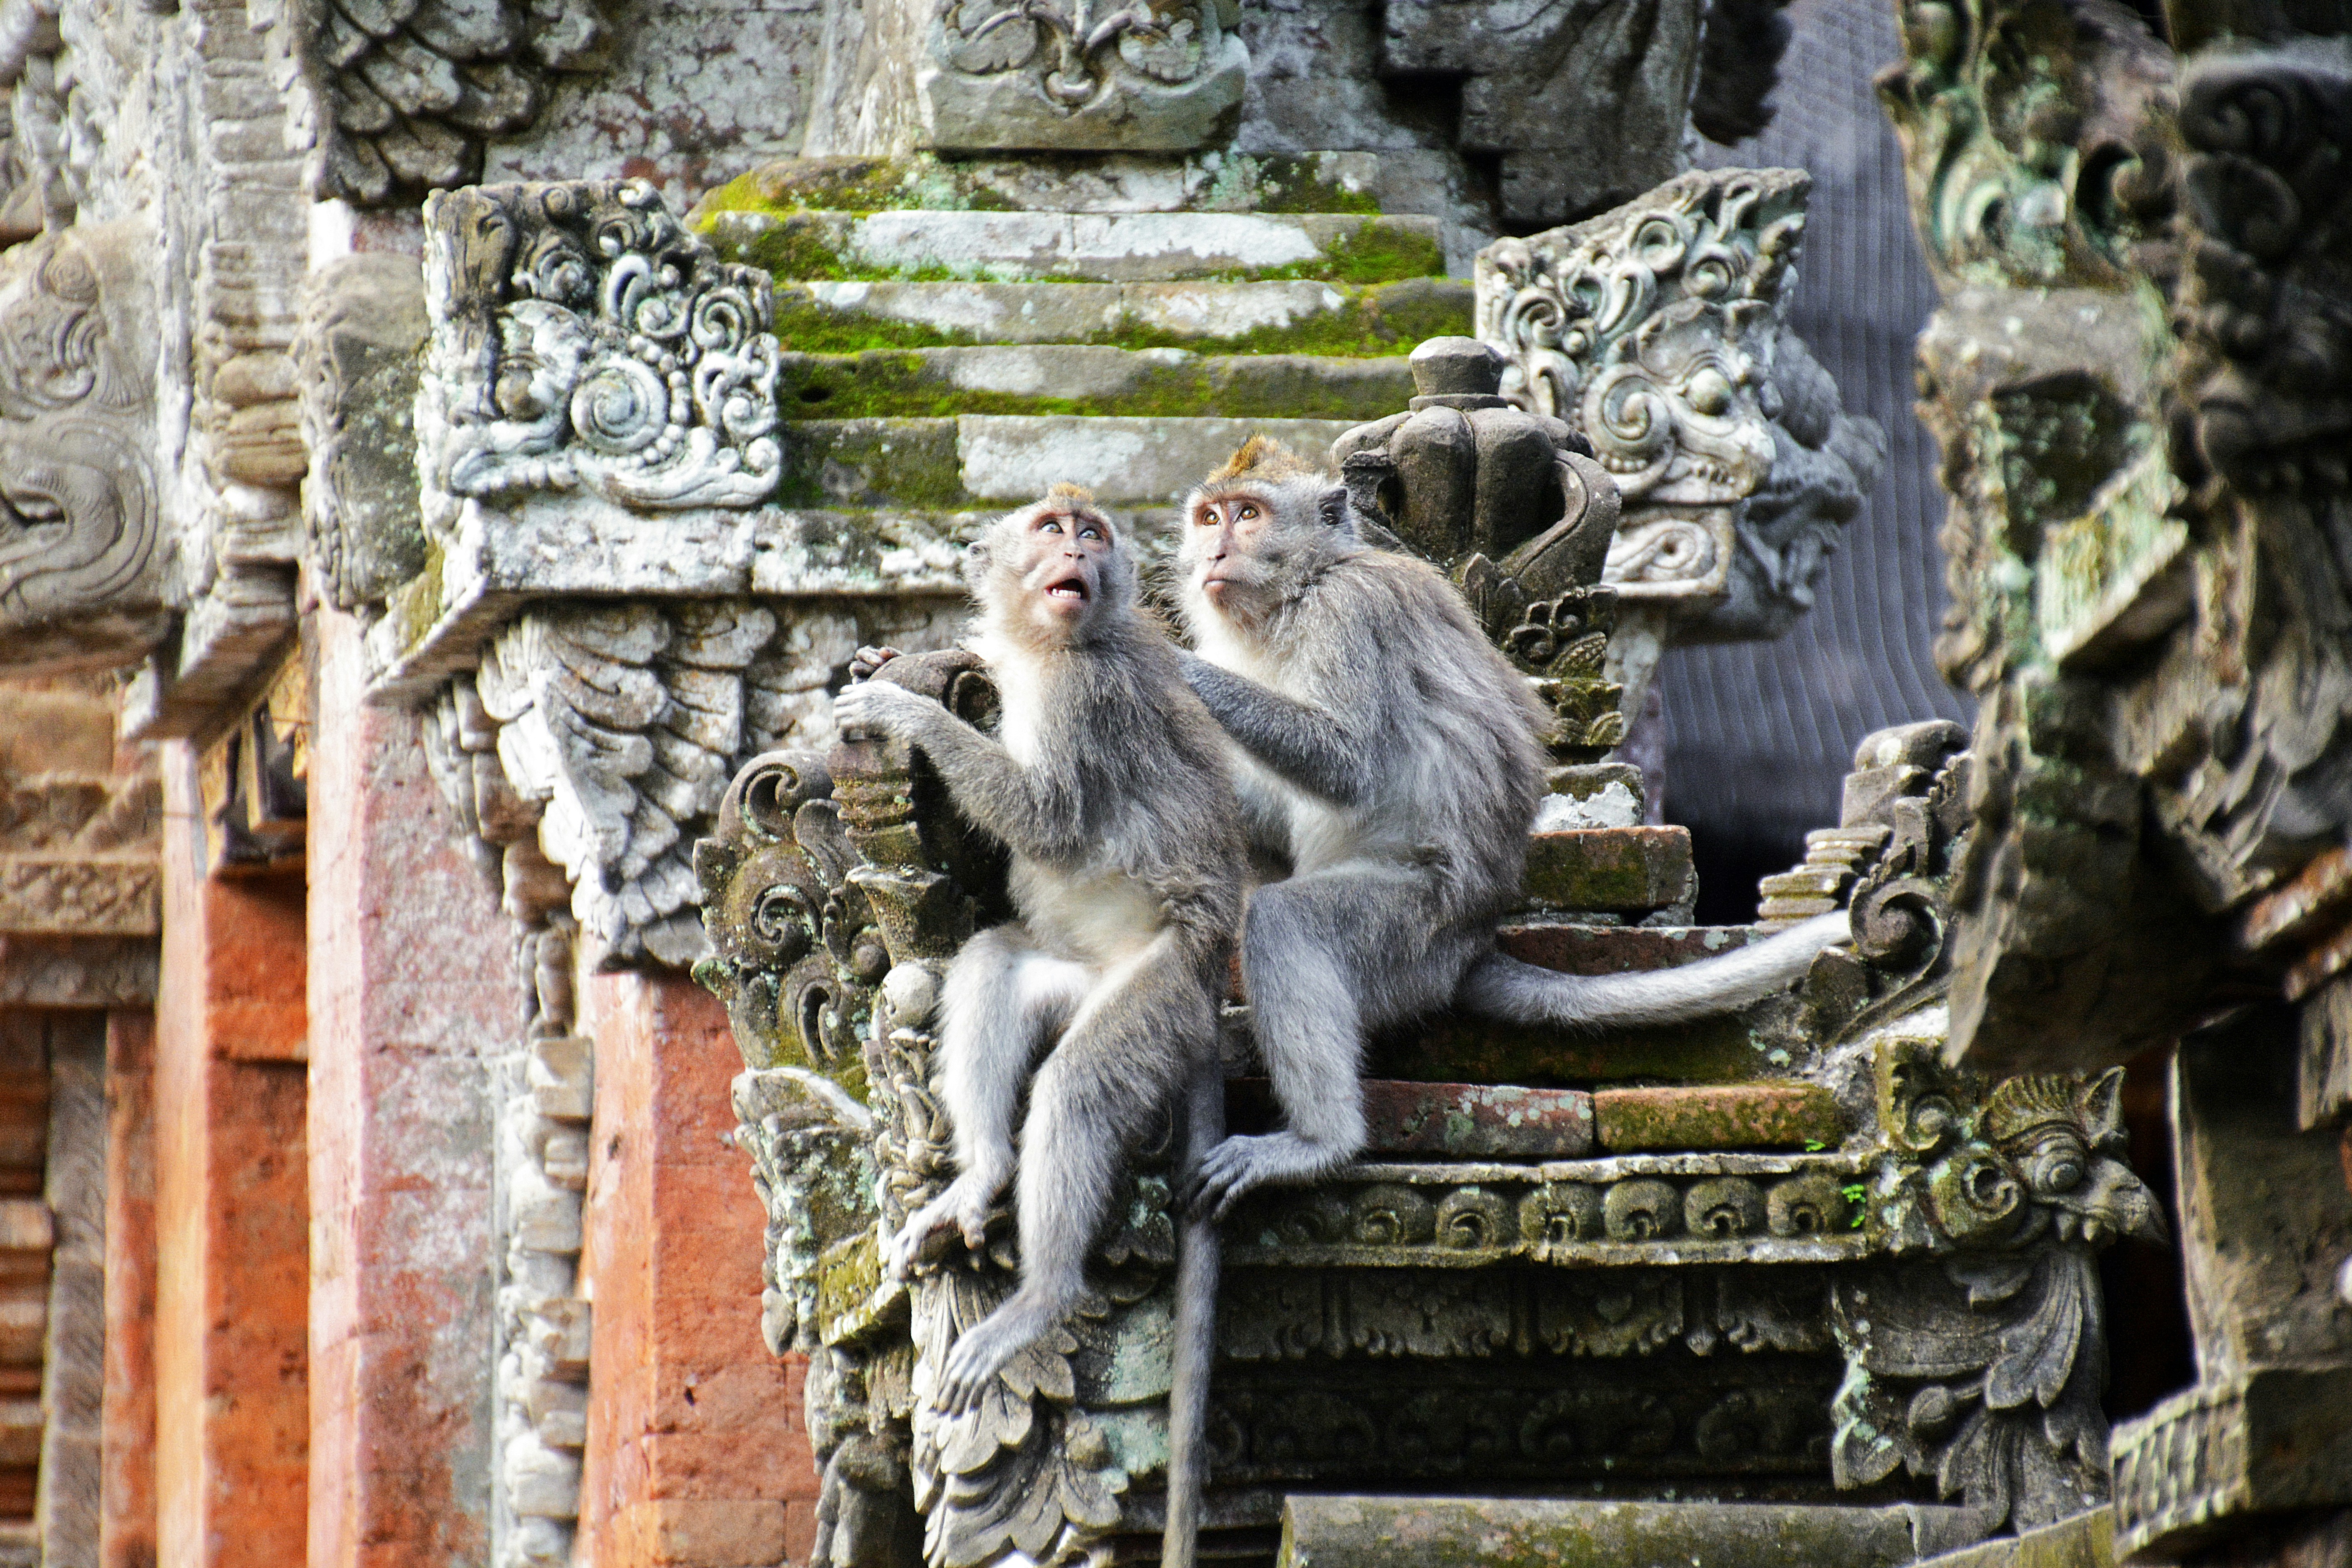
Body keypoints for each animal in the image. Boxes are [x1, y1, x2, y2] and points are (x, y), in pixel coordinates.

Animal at [832, 484, 1239, 1568]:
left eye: (1091, 532)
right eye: (1056, 530)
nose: (1080, 551)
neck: (1049, 639)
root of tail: (1210, 993)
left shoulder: (1076, 692)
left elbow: (1048, 816)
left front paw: (908, 711)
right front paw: (883, 660)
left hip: (1159, 992)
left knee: (1081, 1086)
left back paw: (1040, 1300)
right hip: (1081, 977)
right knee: (991, 967)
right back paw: (979, 1177)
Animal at [1170, 438, 1851, 1219]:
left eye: (1247, 516)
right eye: (1208, 517)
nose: (1213, 552)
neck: (1298, 591)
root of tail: (1471, 943)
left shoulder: (1350, 615)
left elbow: (1345, 763)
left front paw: (1171, 667)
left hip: (1411, 931)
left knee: (1290, 923)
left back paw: (1318, 1144)